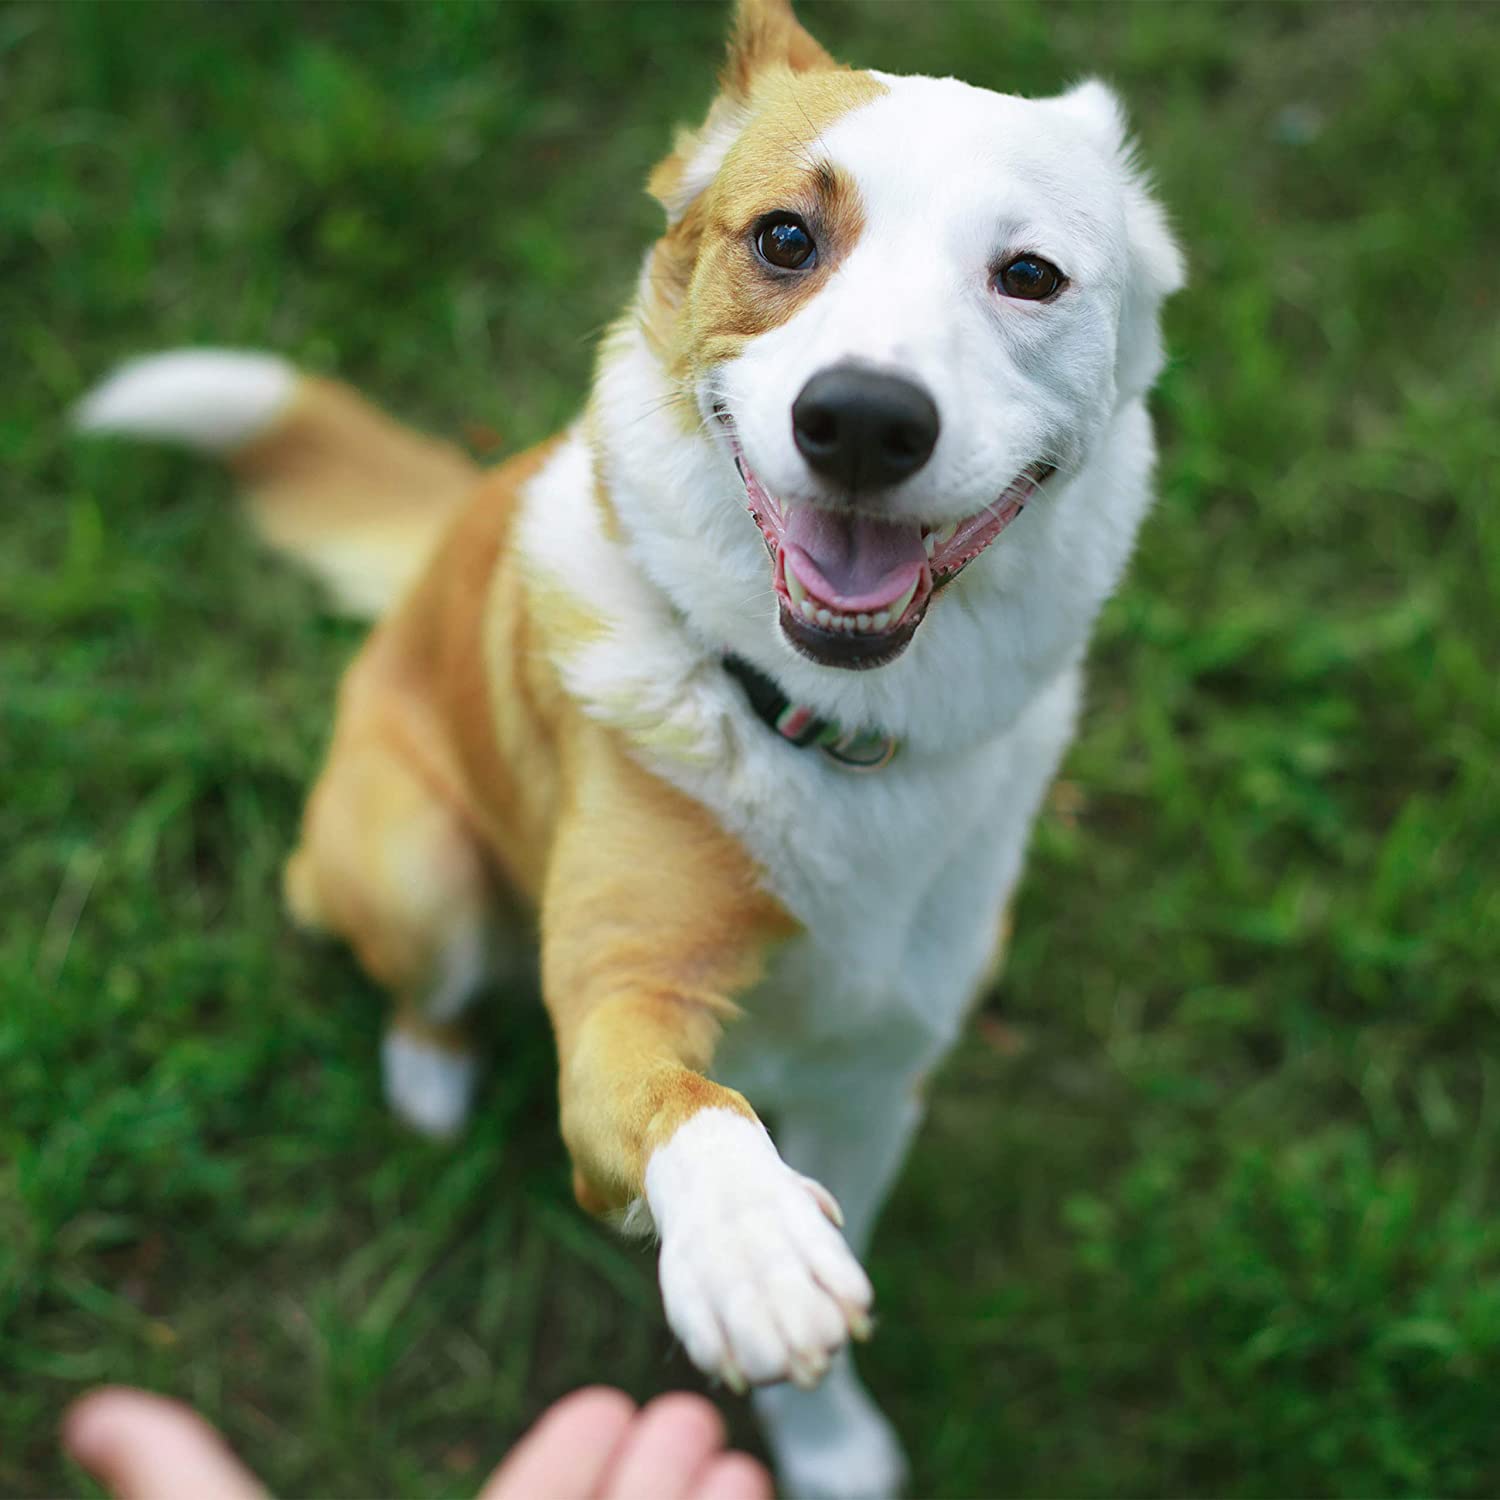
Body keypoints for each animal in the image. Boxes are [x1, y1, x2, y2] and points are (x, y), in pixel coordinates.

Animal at [79, 5, 1182, 1494]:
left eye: (1029, 275)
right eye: (785, 237)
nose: (864, 420)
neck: (830, 735)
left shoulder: (878, 1078)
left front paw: (828, 1441)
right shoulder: (616, 997)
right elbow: (682, 1098)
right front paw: (752, 1250)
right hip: (417, 868)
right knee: (412, 969)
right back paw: (430, 1074)